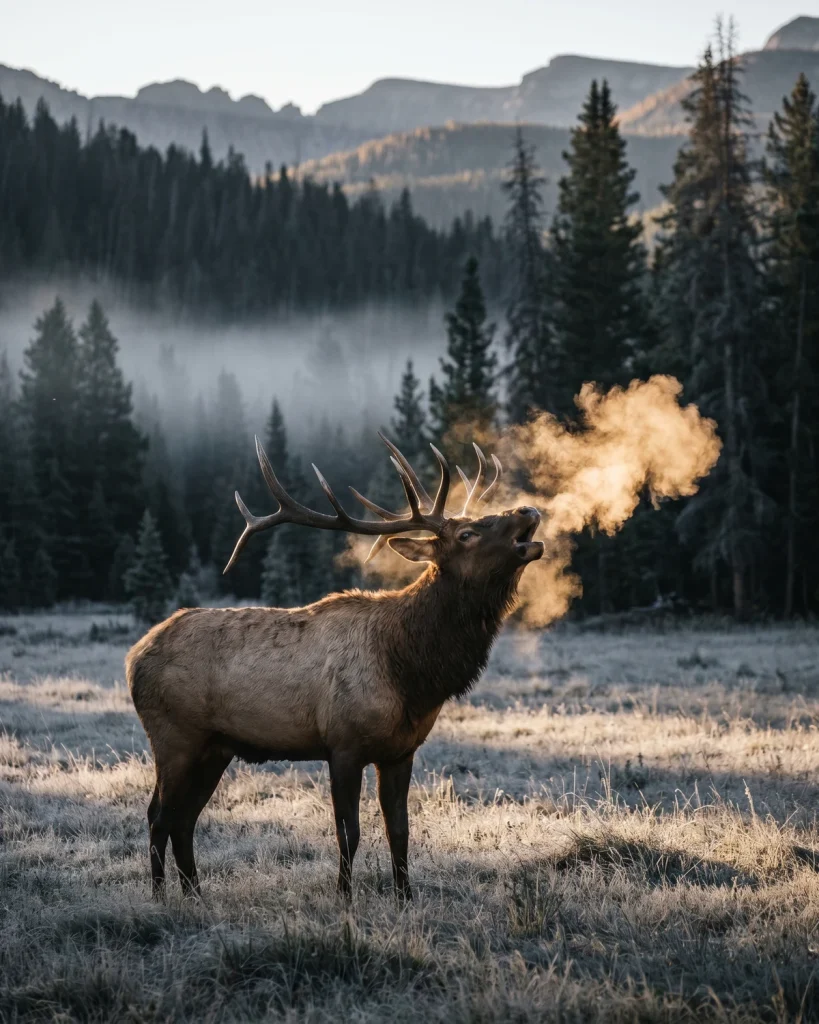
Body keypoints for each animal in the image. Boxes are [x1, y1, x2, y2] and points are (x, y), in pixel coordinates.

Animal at [126, 432, 543, 901]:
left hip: (215, 747)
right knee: (158, 815)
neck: (412, 675)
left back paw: (195, 894)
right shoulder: (342, 744)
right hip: (174, 736)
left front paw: (405, 897)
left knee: (184, 820)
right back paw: (161, 897)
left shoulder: (401, 751)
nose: (527, 510)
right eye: (467, 533)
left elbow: (400, 831)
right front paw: (344, 896)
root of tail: (134, 658)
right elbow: (350, 833)